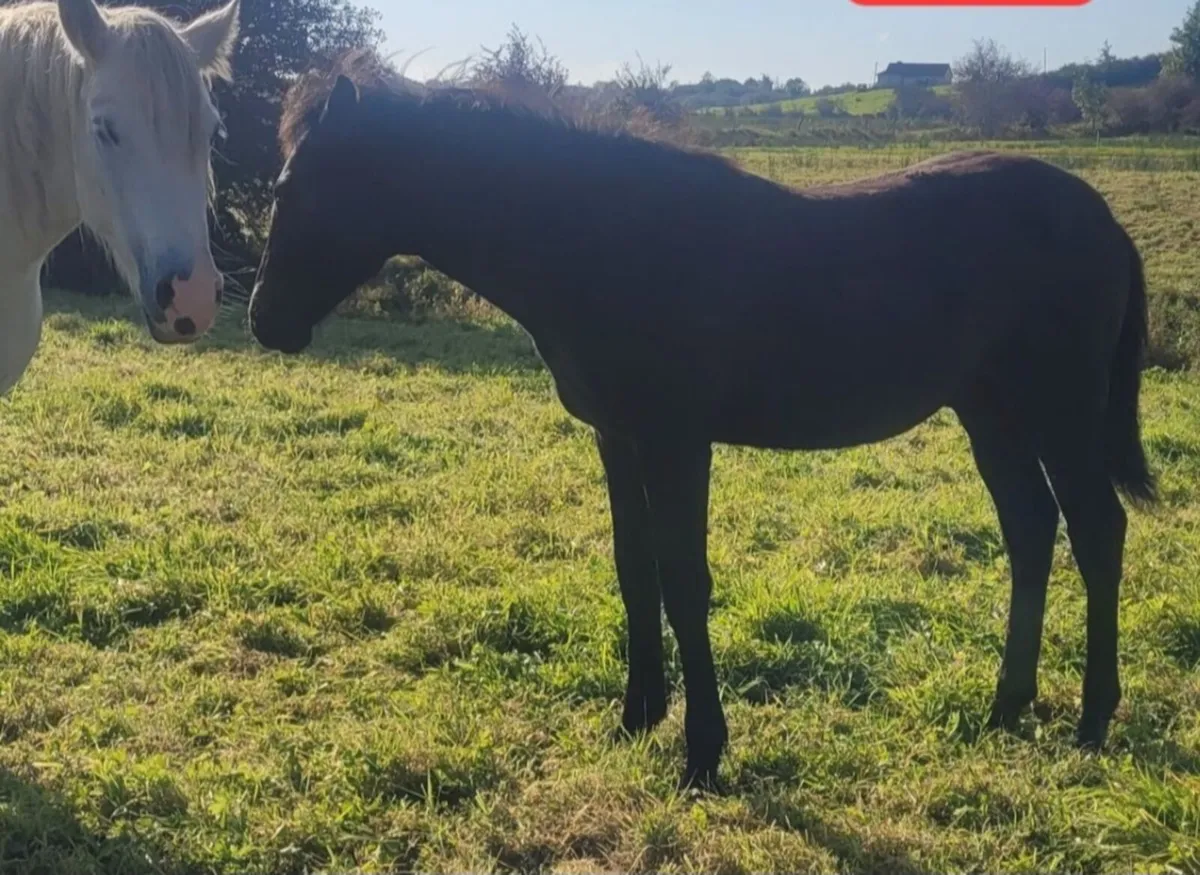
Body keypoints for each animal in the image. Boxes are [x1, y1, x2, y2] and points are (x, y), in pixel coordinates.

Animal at [247, 61, 1157, 790]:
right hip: (990, 411)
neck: (603, 242)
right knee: (1031, 530)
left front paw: (702, 752)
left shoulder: (677, 441)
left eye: (294, 189)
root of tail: (1106, 221)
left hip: (1059, 412)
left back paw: (1091, 717)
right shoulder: (617, 437)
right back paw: (1006, 706)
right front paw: (634, 718)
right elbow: (634, 568)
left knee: (1096, 531)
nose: (262, 319)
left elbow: (685, 580)